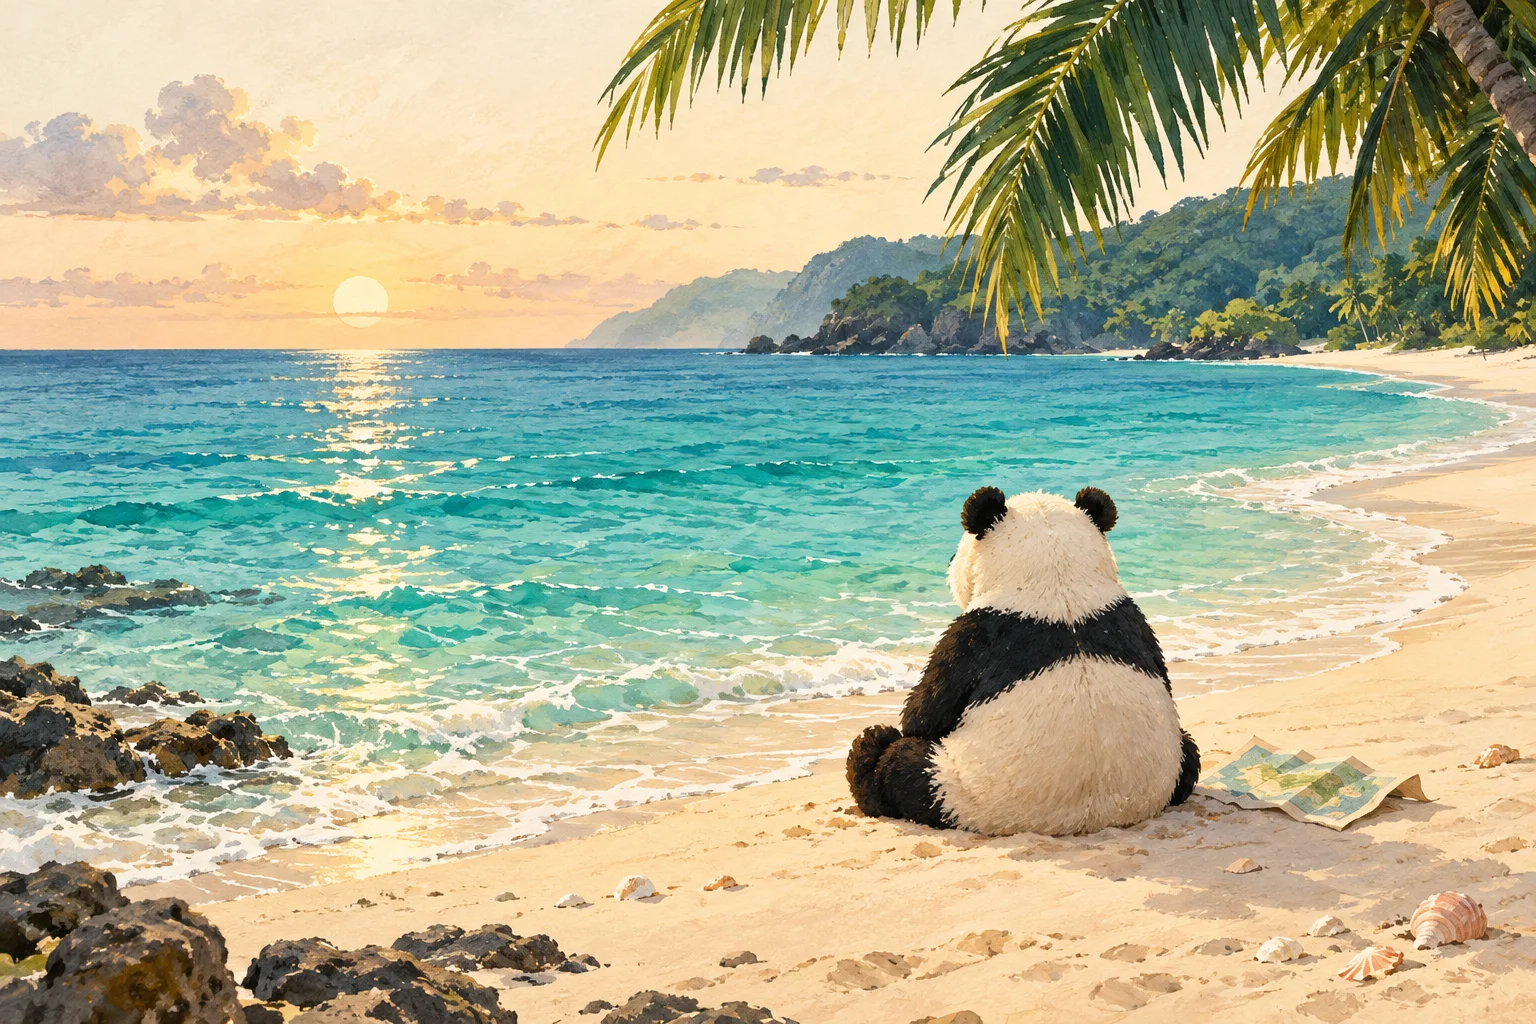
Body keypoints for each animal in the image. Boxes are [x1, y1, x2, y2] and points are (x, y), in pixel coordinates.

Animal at [846, 485, 1199, 836]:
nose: (949, 561)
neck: (1057, 577)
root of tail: (1090, 820)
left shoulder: (980, 635)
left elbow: (926, 712)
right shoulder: (1132, 621)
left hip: (961, 789)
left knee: (901, 770)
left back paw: (871, 749)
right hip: (1170, 761)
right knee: (1190, 752)